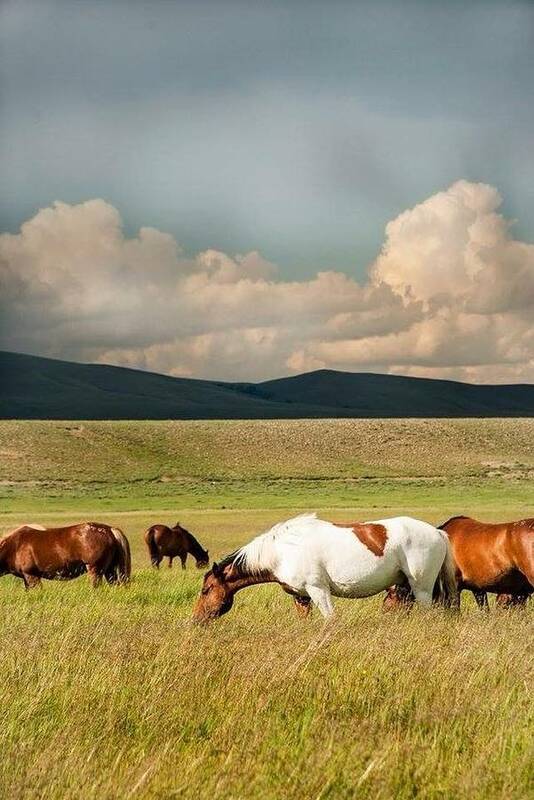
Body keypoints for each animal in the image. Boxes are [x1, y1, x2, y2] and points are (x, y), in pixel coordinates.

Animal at [0, 520, 133, 592]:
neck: (14, 546)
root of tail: (110, 530)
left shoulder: (31, 576)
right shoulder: (26, 578)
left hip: (95, 570)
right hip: (109, 570)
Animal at [191, 512, 458, 624]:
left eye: (206, 590)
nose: (195, 620)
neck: (281, 551)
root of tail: (438, 533)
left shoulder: (318, 590)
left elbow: (330, 619)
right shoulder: (301, 597)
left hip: (421, 589)